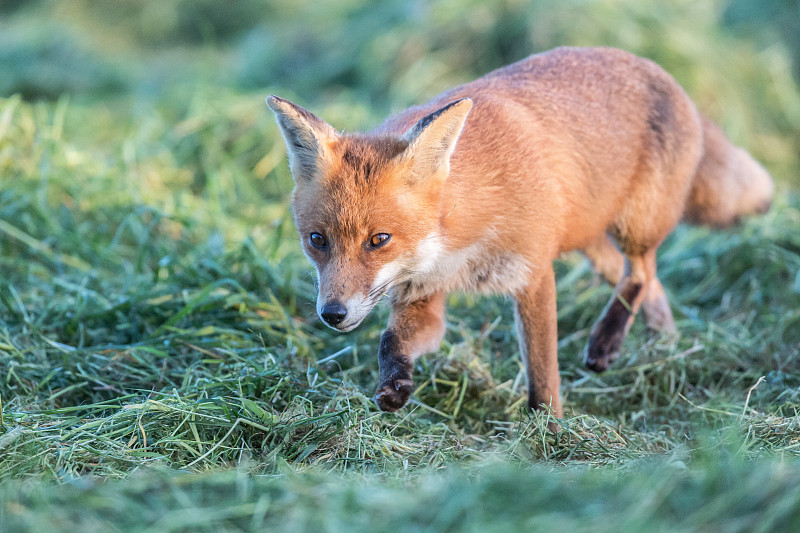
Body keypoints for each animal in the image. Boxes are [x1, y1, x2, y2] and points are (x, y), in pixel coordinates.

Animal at [268, 45, 776, 418]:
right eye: (317, 241)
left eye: (379, 240)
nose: (332, 313)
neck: (457, 245)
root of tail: (661, 70)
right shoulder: (422, 296)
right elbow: (391, 341)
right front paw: (395, 386)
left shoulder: (534, 274)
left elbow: (542, 371)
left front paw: (548, 430)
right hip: (590, 241)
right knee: (649, 286)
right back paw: (664, 350)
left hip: (636, 224)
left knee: (642, 272)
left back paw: (607, 343)